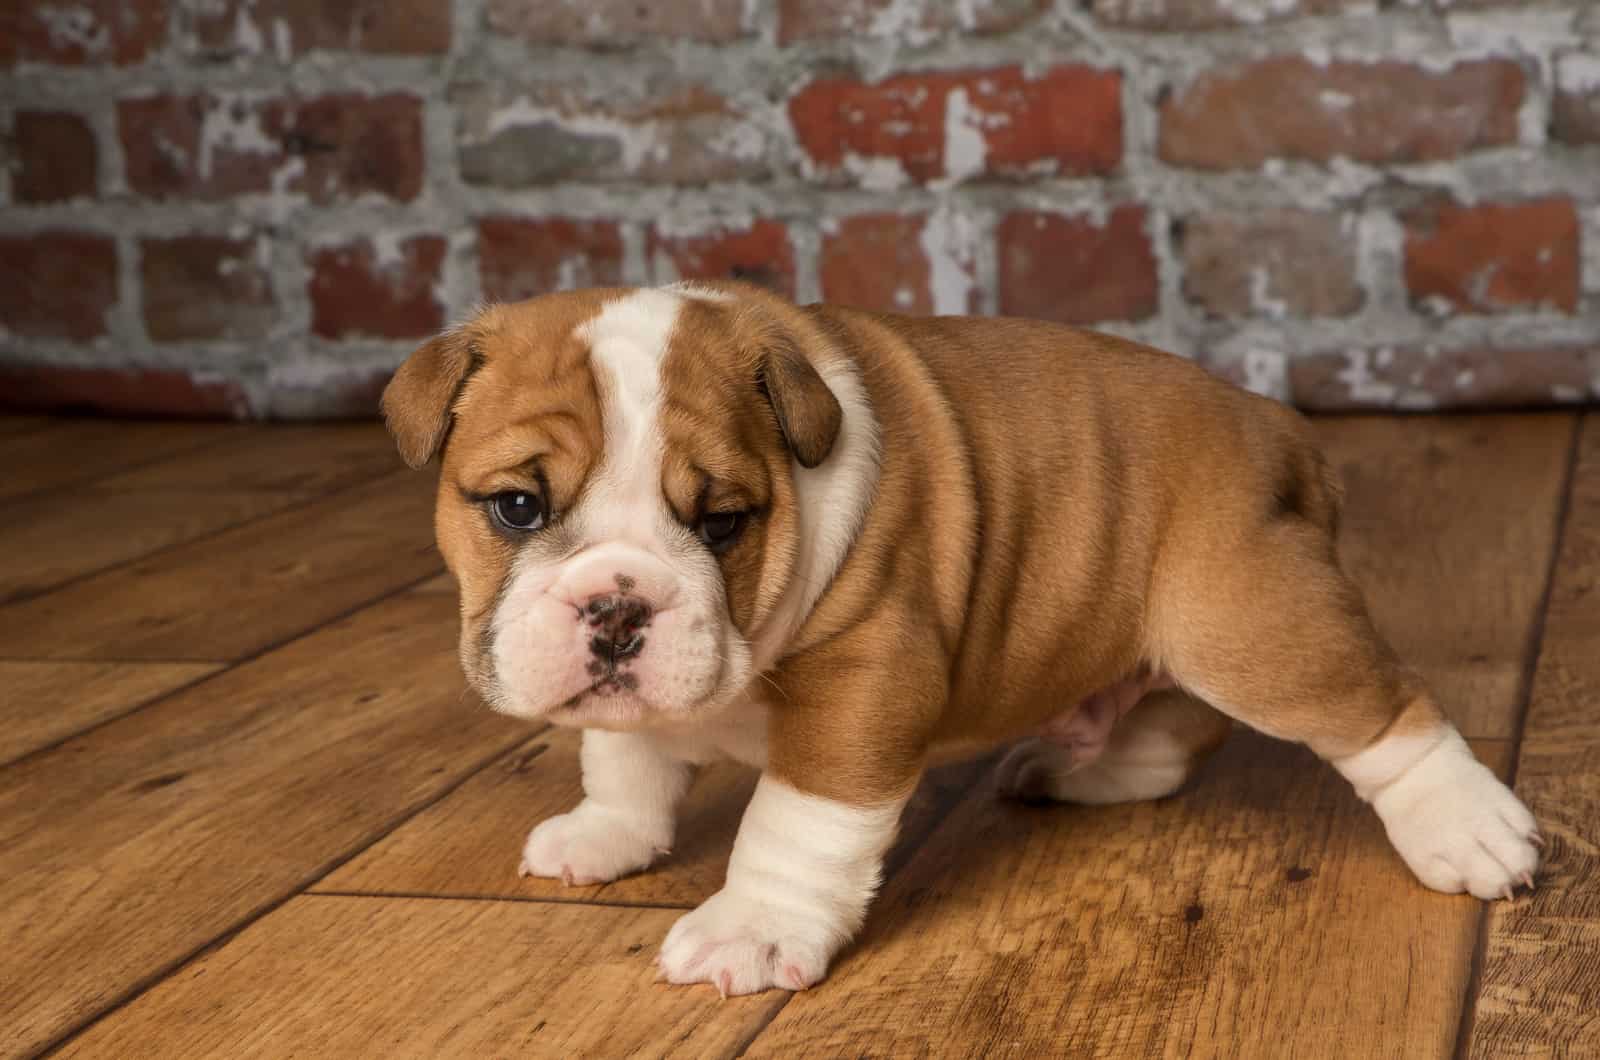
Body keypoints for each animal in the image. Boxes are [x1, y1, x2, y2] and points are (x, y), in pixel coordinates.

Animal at [384, 280, 1536, 999]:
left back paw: (1471, 828)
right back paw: (1078, 771)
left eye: (723, 523)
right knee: (1170, 728)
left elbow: (795, 823)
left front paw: (752, 927)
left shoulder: (863, 680)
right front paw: (607, 831)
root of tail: (1275, 425)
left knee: (1381, 713)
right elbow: (623, 755)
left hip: (1248, 619)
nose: (619, 608)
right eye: (518, 507)